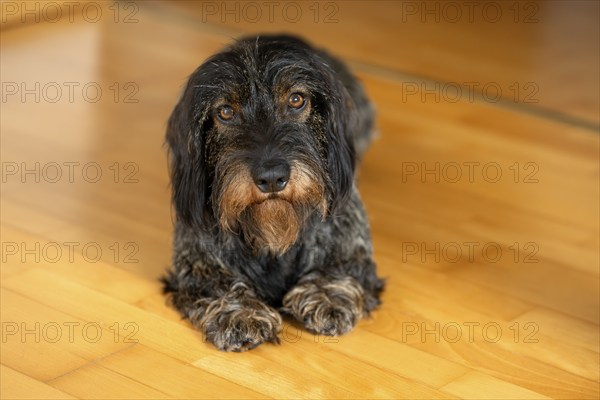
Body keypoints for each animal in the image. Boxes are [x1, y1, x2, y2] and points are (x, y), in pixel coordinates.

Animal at [162, 36, 384, 352]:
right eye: (225, 112)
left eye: (296, 100)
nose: (271, 178)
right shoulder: (195, 267)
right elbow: (217, 284)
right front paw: (240, 312)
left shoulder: (353, 250)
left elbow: (342, 269)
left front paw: (325, 294)